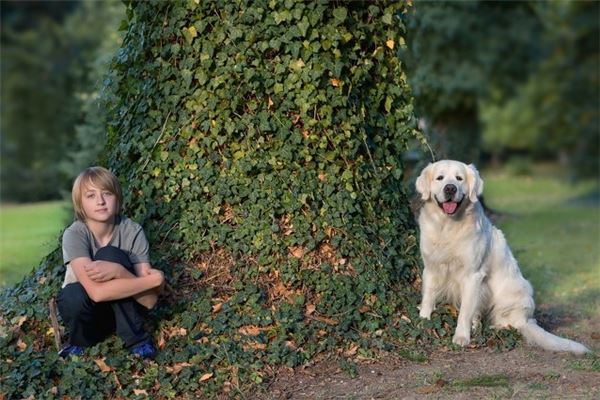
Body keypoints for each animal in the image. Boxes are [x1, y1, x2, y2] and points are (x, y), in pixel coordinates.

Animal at [414, 159, 588, 354]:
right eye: (440, 178)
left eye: (459, 178)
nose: (450, 188)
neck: (447, 227)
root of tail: (527, 319)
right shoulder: (430, 268)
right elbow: (428, 298)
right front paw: (422, 321)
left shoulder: (472, 275)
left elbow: (465, 311)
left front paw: (461, 337)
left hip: (512, 297)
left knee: (510, 324)